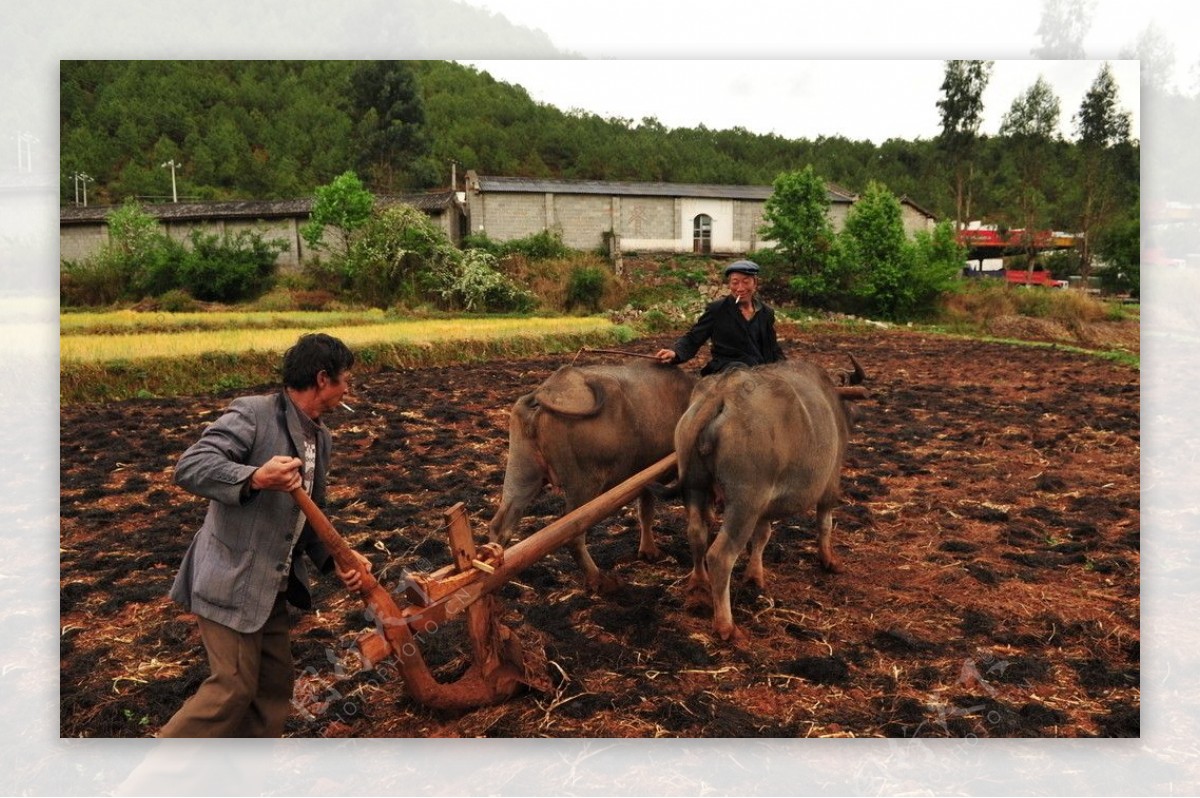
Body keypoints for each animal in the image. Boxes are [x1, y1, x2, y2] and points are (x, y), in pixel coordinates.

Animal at [487, 360, 696, 590]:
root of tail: (542, 393)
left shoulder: (646, 478)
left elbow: (646, 513)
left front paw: (649, 551)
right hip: (583, 485)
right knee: (573, 535)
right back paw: (599, 580)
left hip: (522, 472)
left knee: (500, 525)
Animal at [672, 360, 859, 643]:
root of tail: (721, 393)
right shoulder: (830, 484)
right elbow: (824, 524)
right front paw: (829, 560)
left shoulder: (764, 507)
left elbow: (762, 536)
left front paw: (754, 576)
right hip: (743, 504)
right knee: (720, 556)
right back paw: (726, 626)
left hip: (695, 487)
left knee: (696, 534)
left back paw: (698, 584)